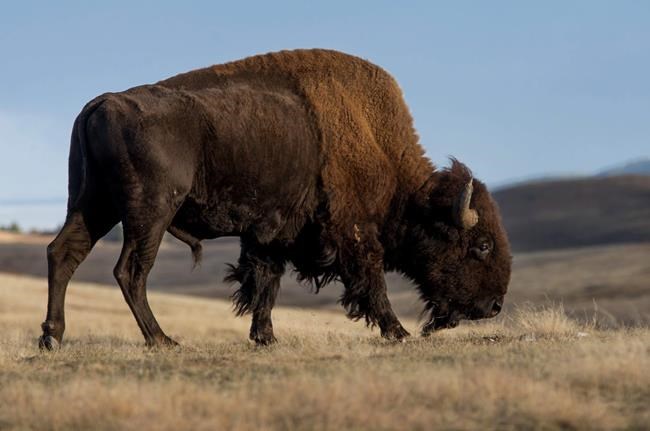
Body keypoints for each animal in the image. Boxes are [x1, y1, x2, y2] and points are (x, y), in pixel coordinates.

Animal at [39, 49, 511, 349]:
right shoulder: (354, 233)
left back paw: (52, 336)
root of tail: (103, 103)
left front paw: (264, 336)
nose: (493, 306)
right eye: (482, 245)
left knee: (64, 252)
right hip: (149, 212)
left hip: (92, 204)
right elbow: (370, 281)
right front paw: (398, 332)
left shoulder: (269, 235)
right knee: (131, 270)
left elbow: (265, 282)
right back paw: (162, 340)